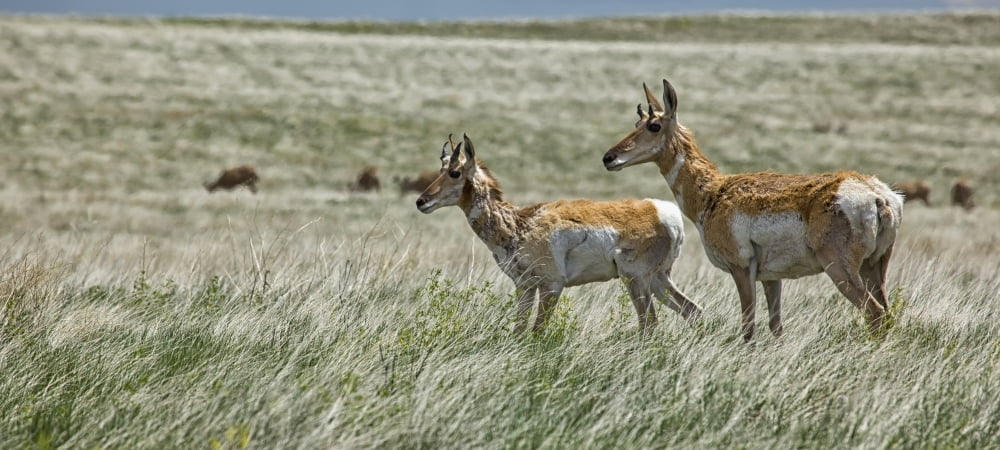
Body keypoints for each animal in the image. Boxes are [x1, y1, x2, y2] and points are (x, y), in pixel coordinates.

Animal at [416, 134, 702, 333]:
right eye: (440, 170)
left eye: (455, 172)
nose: (421, 201)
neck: (519, 223)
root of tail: (664, 212)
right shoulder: (525, 287)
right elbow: (519, 331)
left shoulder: (552, 286)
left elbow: (537, 332)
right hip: (658, 280)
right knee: (692, 310)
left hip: (636, 279)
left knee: (650, 325)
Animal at [602, 79, 903, 342]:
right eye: (637, 123)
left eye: (654, 125)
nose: (608, 157)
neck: (713, 193)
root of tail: (879, 196)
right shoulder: (771, 278)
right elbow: (776, 326)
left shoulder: (741, 269)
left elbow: (748, 327)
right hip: (874, 267)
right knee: (887, 314)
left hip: (840, 269)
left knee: (874, 313)